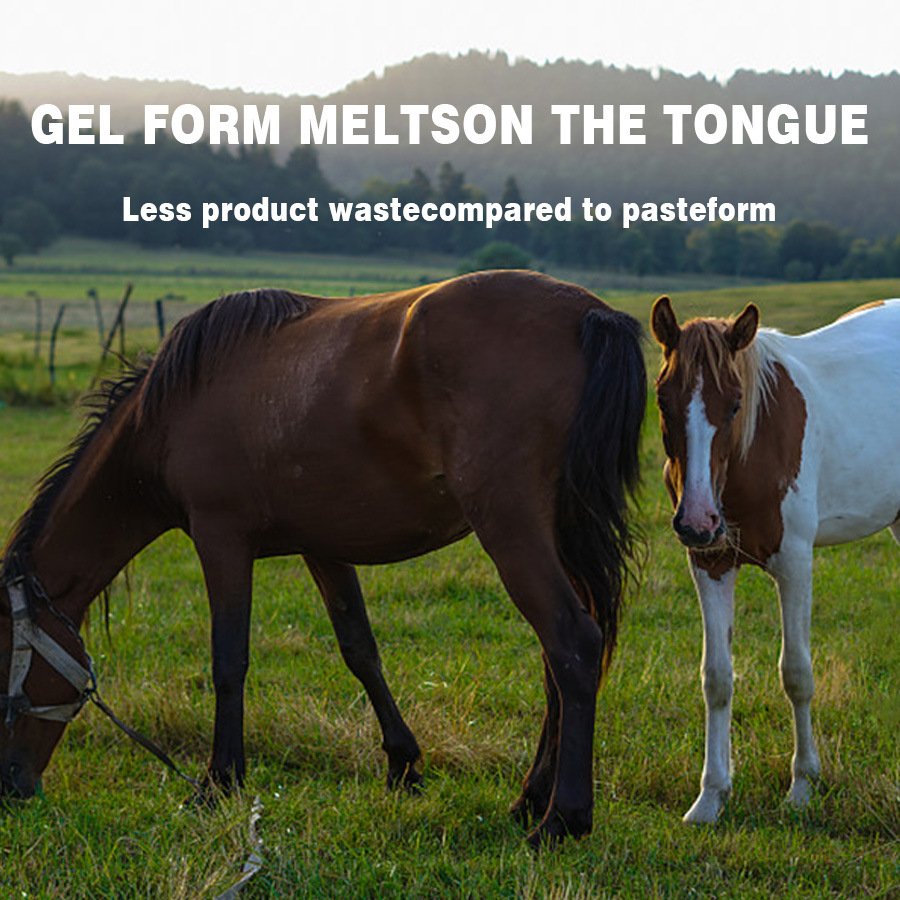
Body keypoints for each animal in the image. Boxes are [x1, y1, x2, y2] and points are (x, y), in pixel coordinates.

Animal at [0, 270, 646, 847]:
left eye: (3, 655)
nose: (12, 787)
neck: (176, 406)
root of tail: (589, 314)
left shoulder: (221, 540)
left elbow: (228, 661)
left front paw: (219, 782)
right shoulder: (323, 549)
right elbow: (360, 651)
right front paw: (402, 764)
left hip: (510, 527)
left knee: (572, 644)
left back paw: (561, 820)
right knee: (559, 660)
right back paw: (531, 798)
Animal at [650, 295, 900, 824]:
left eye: (735, 403)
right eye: (662, 399)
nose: (696, 519)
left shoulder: (795, 564)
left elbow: (797, 675)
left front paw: (803, 786)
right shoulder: (710, 564)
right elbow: (717, 677)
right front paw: (711, 796)